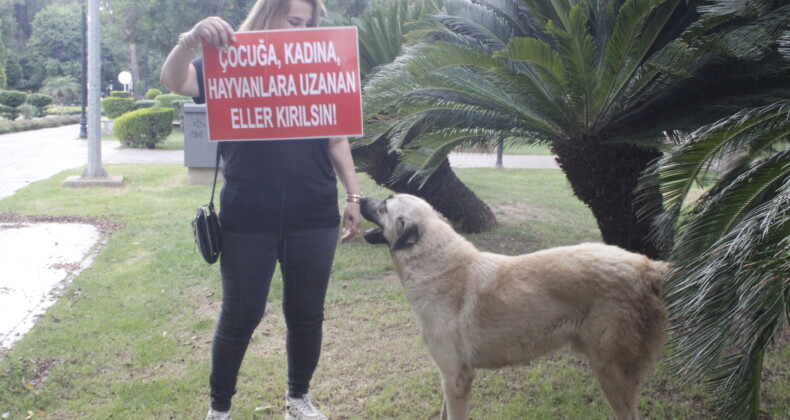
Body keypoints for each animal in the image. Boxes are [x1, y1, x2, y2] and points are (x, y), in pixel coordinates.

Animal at [360, 194, 668, 420]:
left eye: (384, 204)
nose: (360, 198)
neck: (438, 266)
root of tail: (649, 268)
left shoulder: (457, 378)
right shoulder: (448, 376)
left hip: (611, 373)